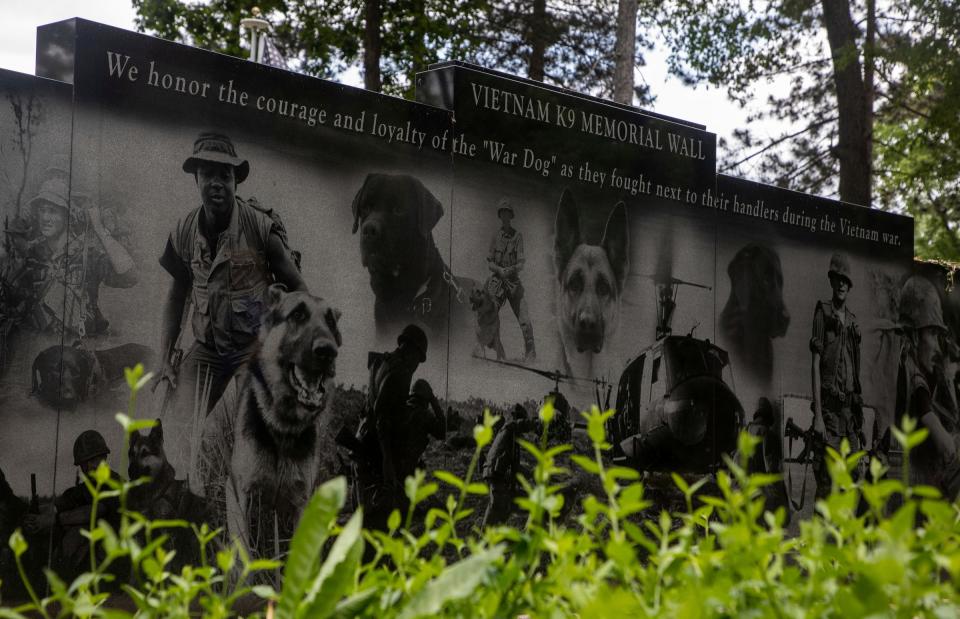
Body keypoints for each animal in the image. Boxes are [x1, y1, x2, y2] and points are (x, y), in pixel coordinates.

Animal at [198, 286, 342, 560]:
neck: (283, 427)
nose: (328, 351)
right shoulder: (237, 493)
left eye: (330, 321)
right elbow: (243, 554)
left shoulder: (302, 503)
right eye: (297, 314)